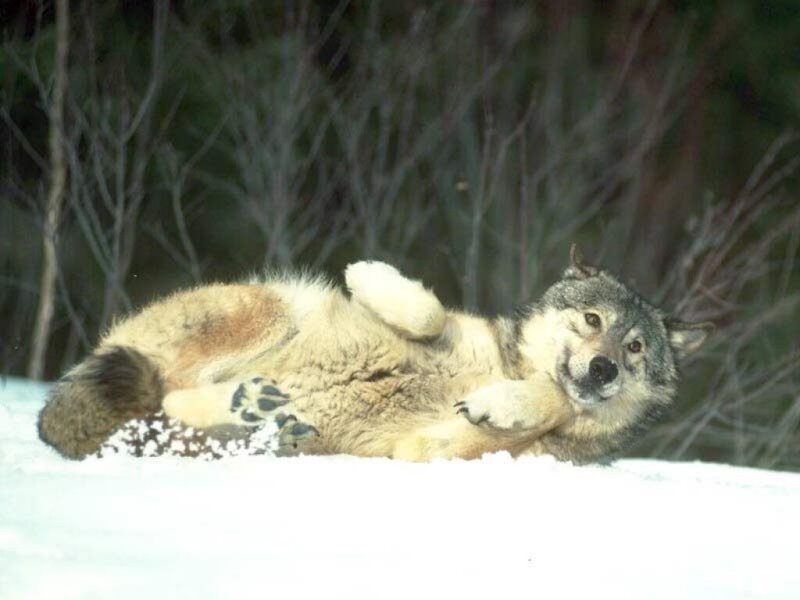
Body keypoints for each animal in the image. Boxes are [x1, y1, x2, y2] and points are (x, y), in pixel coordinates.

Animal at [38, 245, 712, 462]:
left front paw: (504, 405)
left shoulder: (430, 451)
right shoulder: (443, 330)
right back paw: (255, 403)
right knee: (163, 385)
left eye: (634, 348)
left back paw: (261, 413)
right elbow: (429, 311)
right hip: (275, 306)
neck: (503, 365)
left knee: (166, 404)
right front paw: (370, 276)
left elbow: (550, 401)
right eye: (593, 320)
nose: (602, 367)